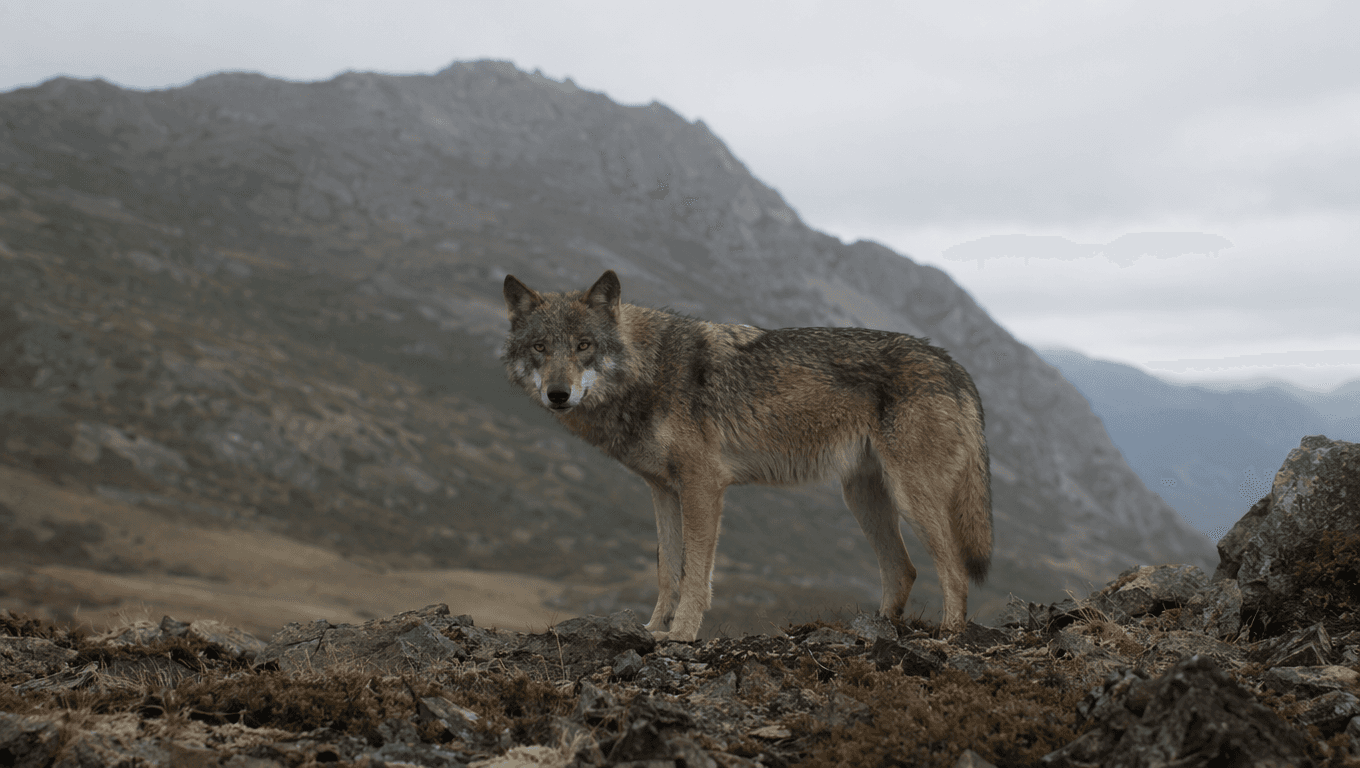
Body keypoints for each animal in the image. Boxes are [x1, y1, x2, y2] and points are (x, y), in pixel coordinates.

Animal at [502, 270, 992, 642]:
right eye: (540, 347)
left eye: (584, 345)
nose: (558, 394)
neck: (648, 371)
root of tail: (954, 365)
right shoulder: (663, 490)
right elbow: (667, 571)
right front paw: (652, 628)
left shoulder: (704, 485)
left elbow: (695, 574)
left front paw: (681, 635)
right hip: (862, 500)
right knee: (903, 571)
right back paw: (874, 630)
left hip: (911, 498)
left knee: (954, 572)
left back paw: (948, 637)